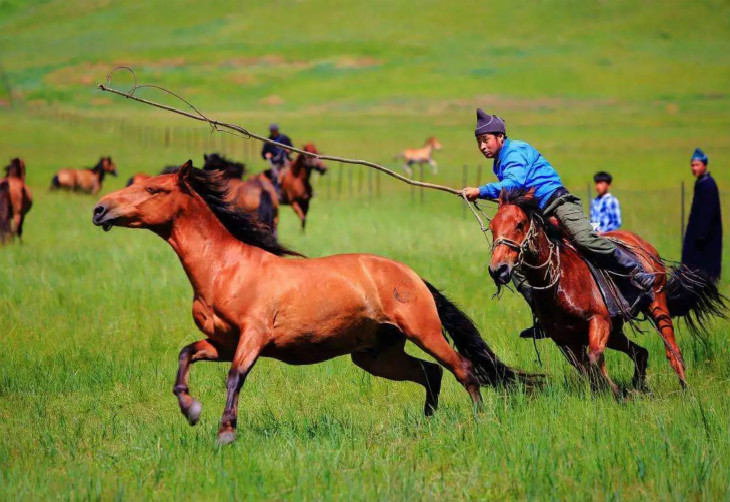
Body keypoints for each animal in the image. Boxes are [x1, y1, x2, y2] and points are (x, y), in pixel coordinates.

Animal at [89, 163, 536, 446]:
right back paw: (428, 423)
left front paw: (225, 432)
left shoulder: (252, 338)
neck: (226, 268)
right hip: (375, 355)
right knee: (430, 373)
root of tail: (411, 276)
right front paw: (191, 409)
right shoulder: (222, 343)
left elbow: (235, 379)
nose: (99, 209)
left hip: (422, 332)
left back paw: (478, 420)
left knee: (462, 369)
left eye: (154, 190)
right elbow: (185, 355)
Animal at [486, 188, 724, 396]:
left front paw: (617, 393)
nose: (498, 269)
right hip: (615, 331)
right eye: (492, 226)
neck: (557, 280)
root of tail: (641, 243)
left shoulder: (598, 320)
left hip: (656, 305)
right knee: (640, 352)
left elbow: (594, 359)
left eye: (519, 224)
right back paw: (640, 387)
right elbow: (586, 369)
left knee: (672, 350)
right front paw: (612, 393)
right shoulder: (565, 340)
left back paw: (685, 391)